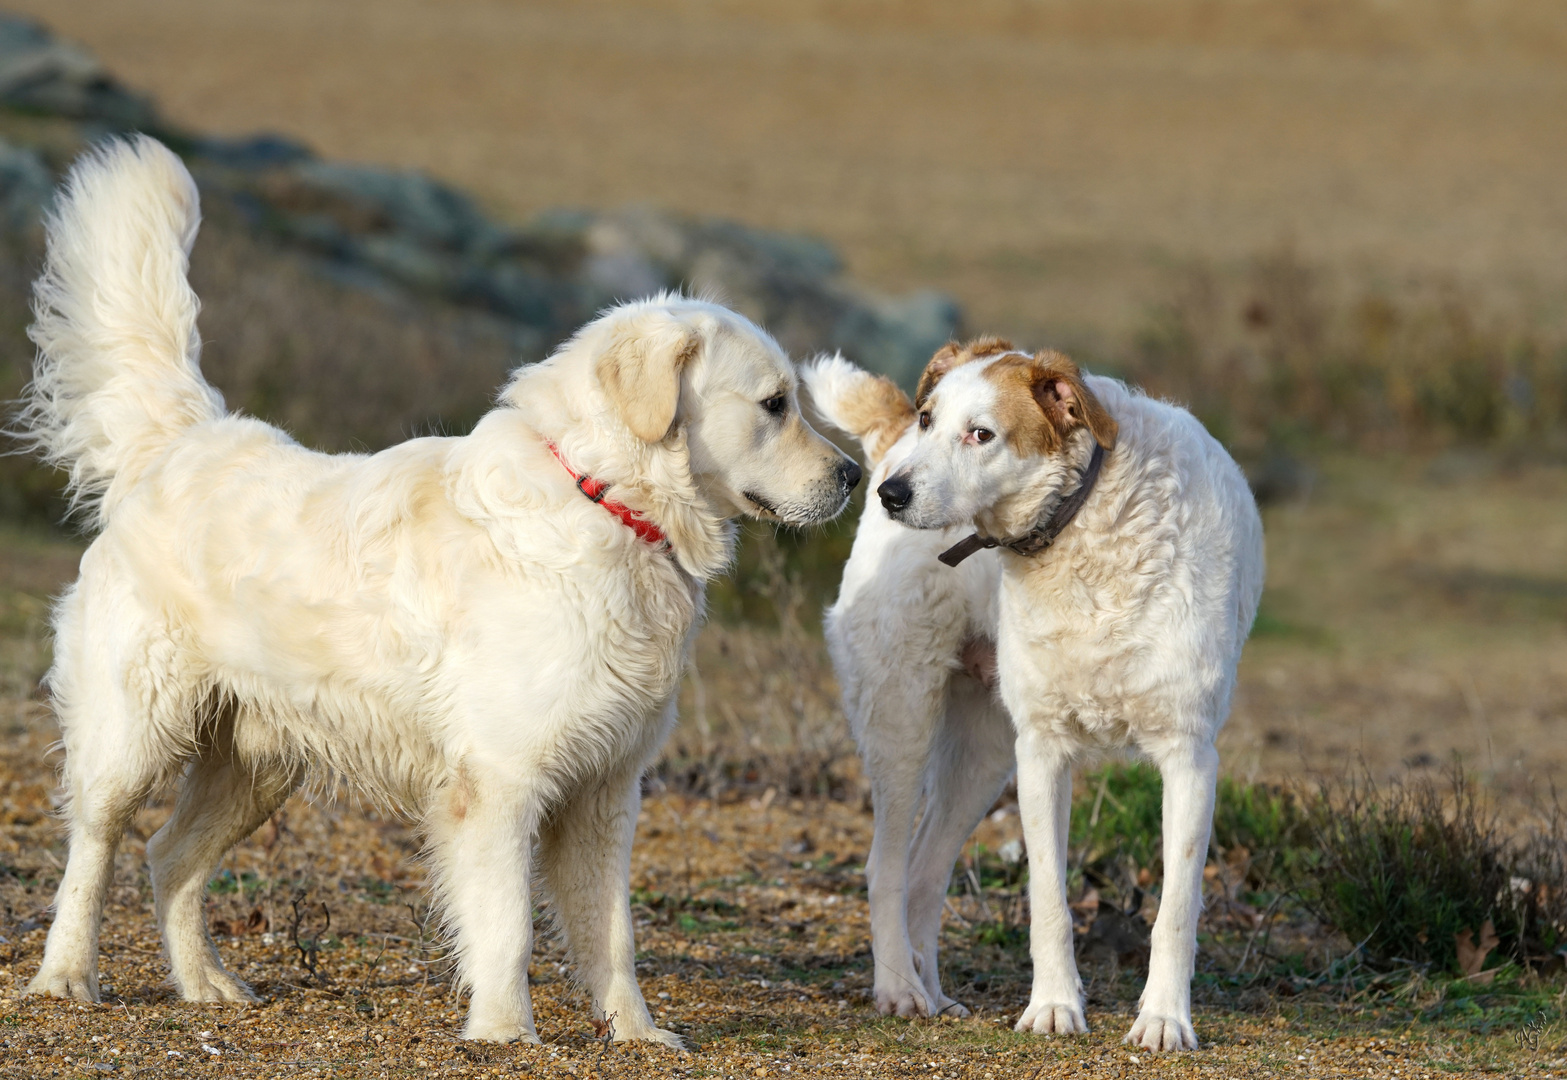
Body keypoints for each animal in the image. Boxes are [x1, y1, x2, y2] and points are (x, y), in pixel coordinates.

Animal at [18, 134, 864, 1047]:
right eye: (774, 404)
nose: (855, 477)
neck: (600, 499)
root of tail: (185, 441)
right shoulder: (498, 783)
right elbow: (507, 923)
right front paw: (505, 1031)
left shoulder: (606, 790)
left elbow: (613, 933)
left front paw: (636, 1032)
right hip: (133, 733)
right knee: (96, 846)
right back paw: (66, 977)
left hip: (257, 762)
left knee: (168, 855)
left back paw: (205, 983)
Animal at [802, 335, 1266, 1047]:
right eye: (931, 418)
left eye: (982, 434)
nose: (890, 493)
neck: (1081, 526)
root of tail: (887, 442)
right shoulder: (1043, 752)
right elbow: (1048, 897)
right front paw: (1053, 1007)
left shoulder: (1189, 756)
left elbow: (1176, 907)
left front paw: (1163, 1019)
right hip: (903, 719)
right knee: (886, 869)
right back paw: (900, 989)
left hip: (983, 757)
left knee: (924, 874)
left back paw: (933, 993)